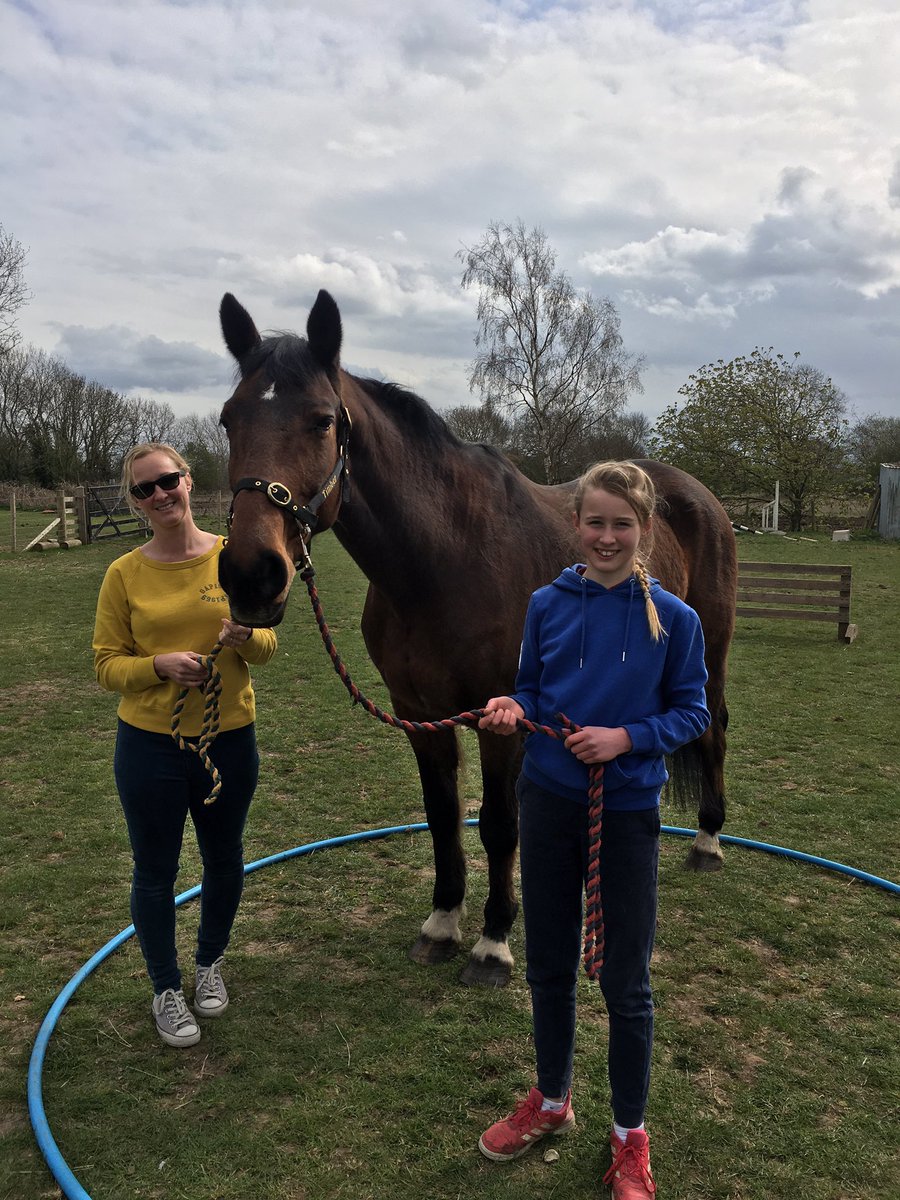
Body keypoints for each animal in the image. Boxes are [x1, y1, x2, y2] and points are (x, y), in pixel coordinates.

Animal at [217, 289, 737, 988]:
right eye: (228, 420)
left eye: (323, 422)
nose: (252, 574)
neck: (443, 559)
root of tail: (694, 493)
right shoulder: (419, 716)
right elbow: (443, 817)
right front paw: (442, 925)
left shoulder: (504, 719)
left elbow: (497, 824)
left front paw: (493, 942)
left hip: (710, 651)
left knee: (712, 729)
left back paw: (707, 842)